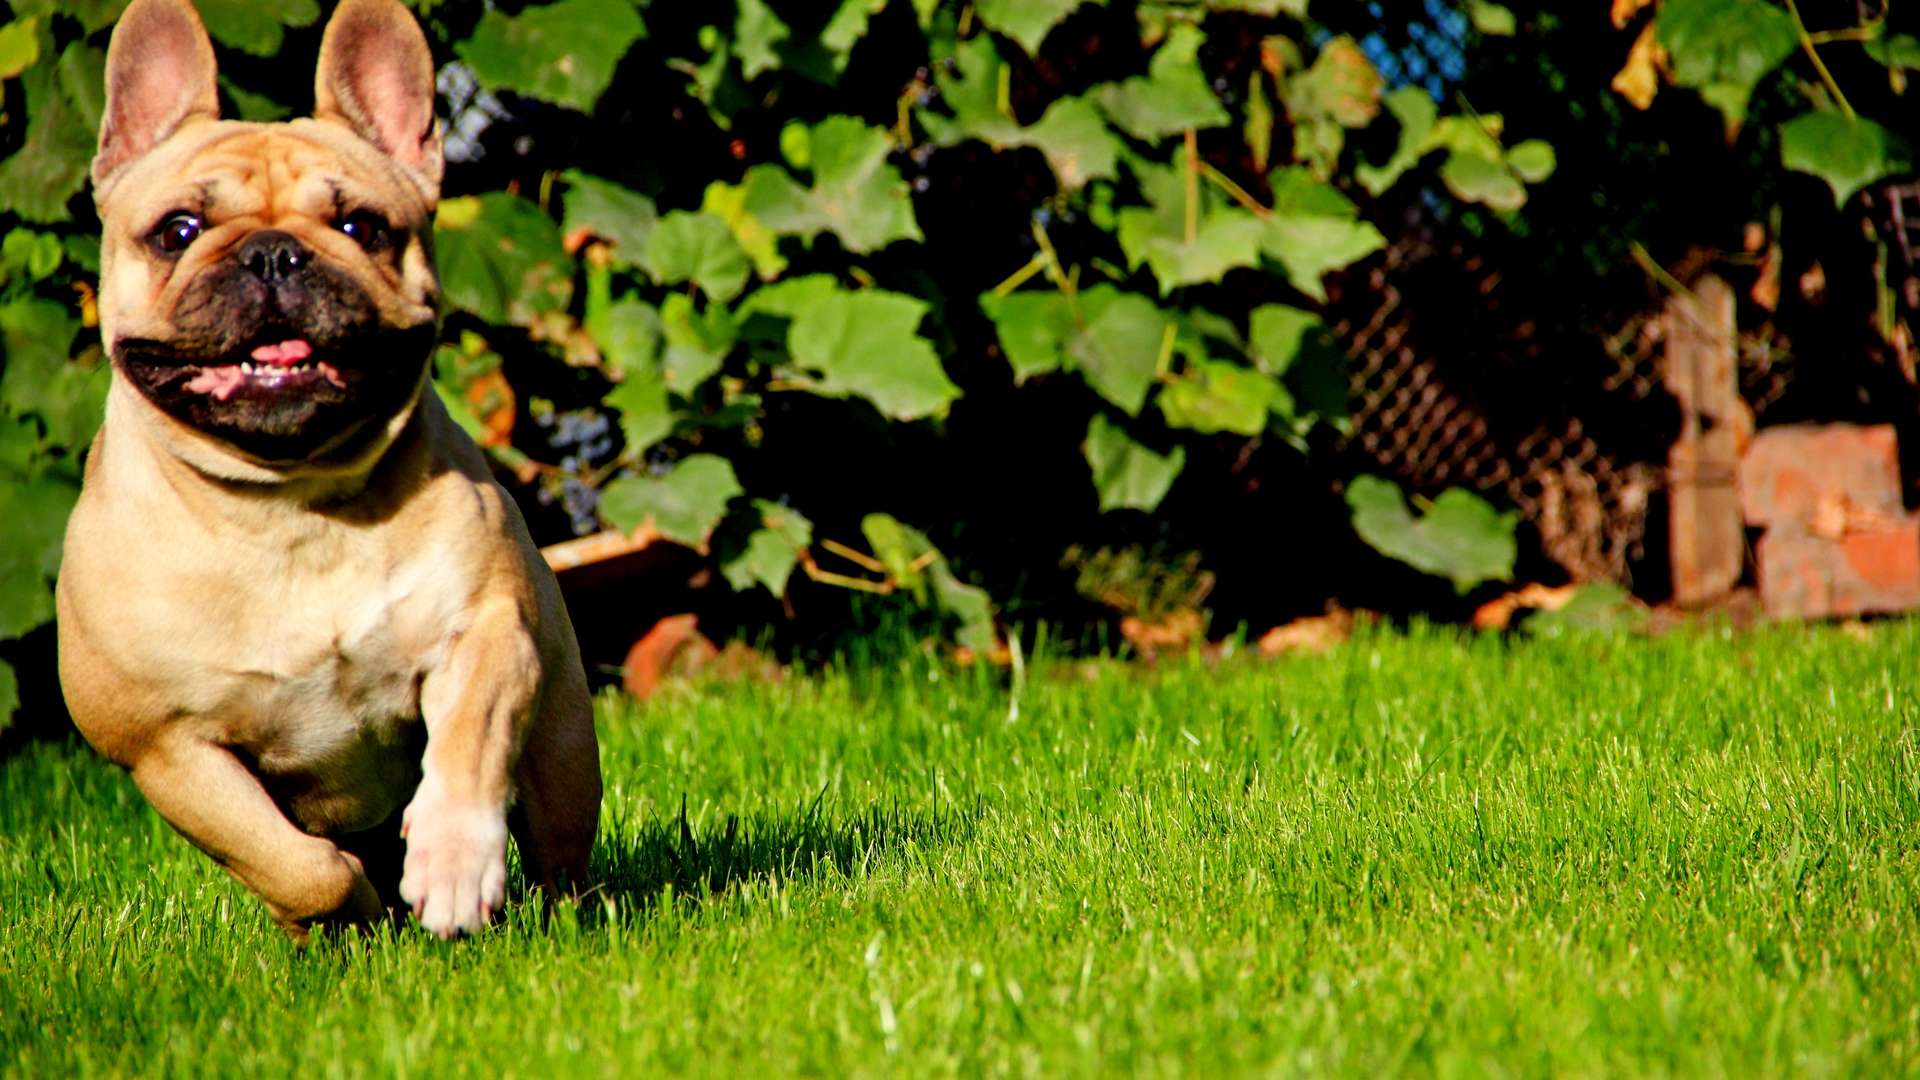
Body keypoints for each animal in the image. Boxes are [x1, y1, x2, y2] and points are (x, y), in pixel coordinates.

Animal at [56, 0, 599, 937]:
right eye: (178, 232)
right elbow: (294, 865)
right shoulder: (164, 748)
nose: (275, 252)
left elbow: (468, 750)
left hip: (564, 738)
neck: (289, 505)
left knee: (561, 843)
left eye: (362, 228)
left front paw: (452, 864)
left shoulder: (486, 633)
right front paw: (353, 908)